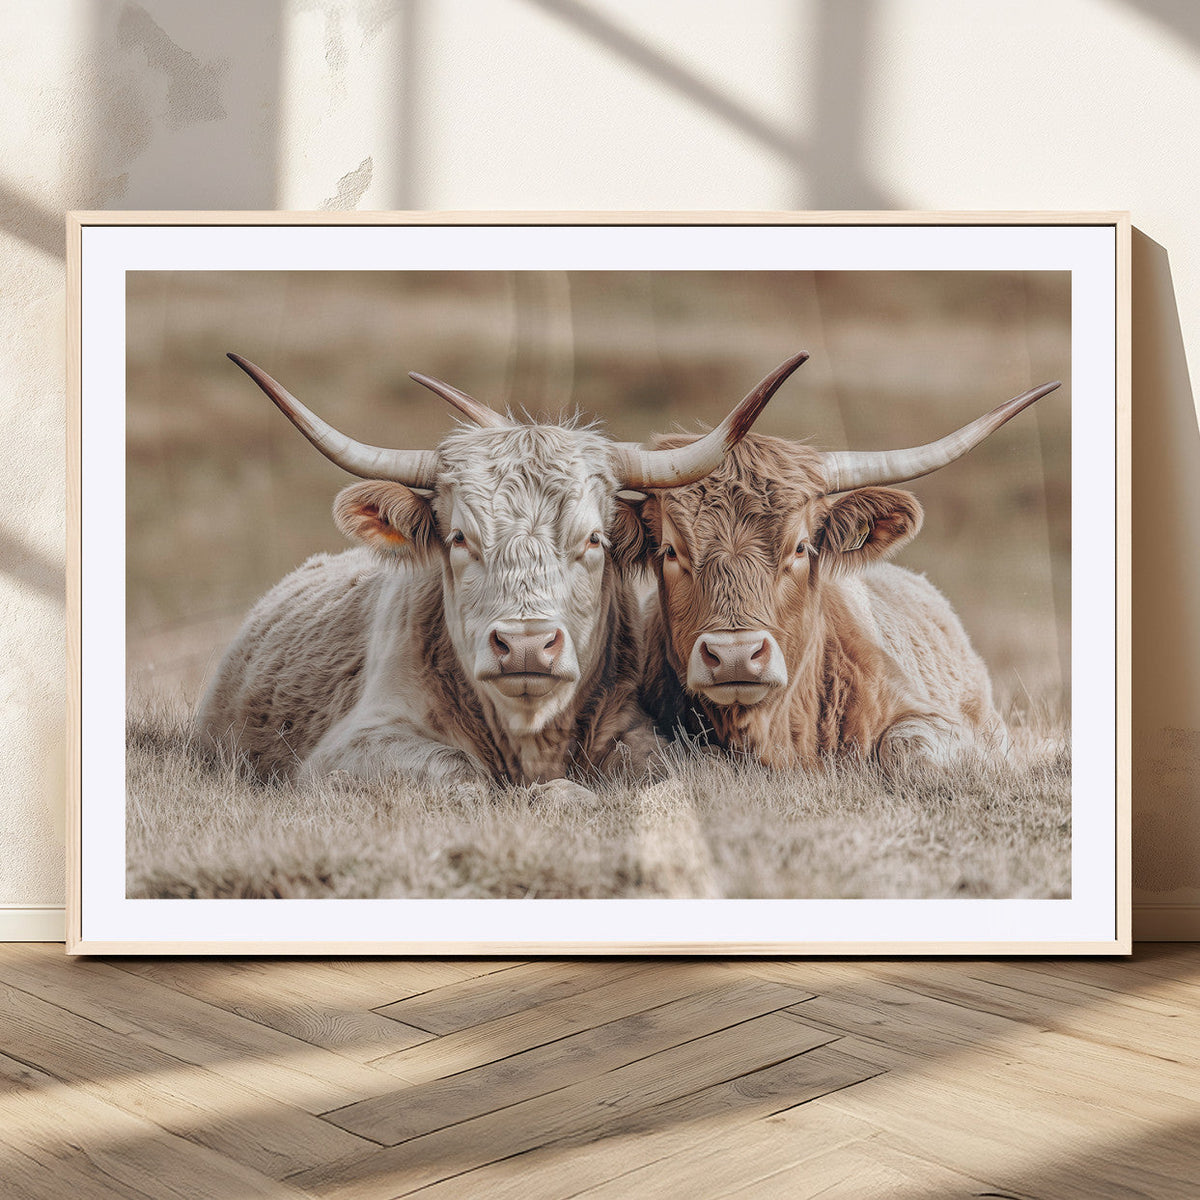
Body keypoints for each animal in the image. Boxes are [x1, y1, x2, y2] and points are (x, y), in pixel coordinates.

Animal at [195, 351, 808, 791]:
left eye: (594, 539)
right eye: (459, 538)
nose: (526, 646)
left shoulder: (638, 730)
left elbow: (681, 769)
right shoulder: (352, 747)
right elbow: (460, 773)